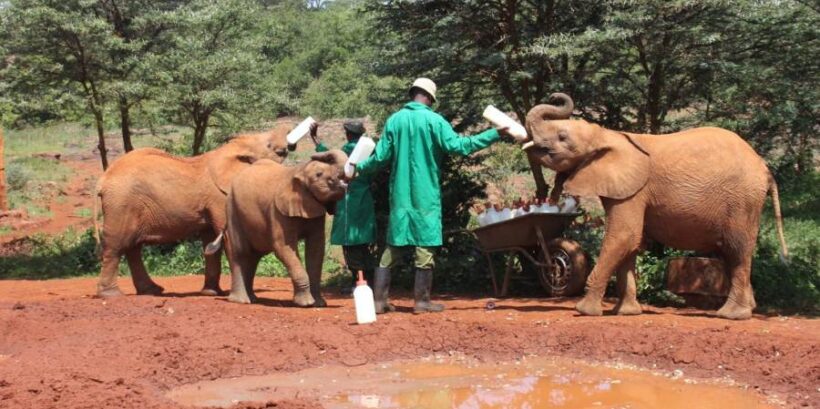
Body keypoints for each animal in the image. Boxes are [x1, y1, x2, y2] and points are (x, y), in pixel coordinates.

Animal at [93, 122, 294, 298]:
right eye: (270, 146)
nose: (289, 146)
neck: (231, 150)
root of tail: (103, 179)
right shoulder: (220, 197)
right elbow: (228, 238)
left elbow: (210, 243)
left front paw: (211, 293)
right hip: (120, 203)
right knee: (116, 246)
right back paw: (112, 295)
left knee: (133, 248)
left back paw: (152, 291)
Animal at [215, 150, 348, 307]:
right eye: (319, 174)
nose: (317, 154)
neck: (299, 171)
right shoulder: (277, 212)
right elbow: (283, 247)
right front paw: (305, 304)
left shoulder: (315, 210)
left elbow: (316, 249)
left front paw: (319, 304)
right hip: (232, 209)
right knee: (241, 252)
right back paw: (241, 301)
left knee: (254, 257)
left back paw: (253, 299)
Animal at [522, 93, 788, 320]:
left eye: (563, 137)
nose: (555, 95)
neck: (610, 135)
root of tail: (765, 168)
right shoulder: (629, 191)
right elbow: (631, 244)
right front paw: (626, 313)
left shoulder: (635, 191)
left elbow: (623, 236)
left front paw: (585, 311)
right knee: (730, 253)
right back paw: (748, 309)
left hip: (742, 201)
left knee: (737, 250)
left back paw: (731, 315)